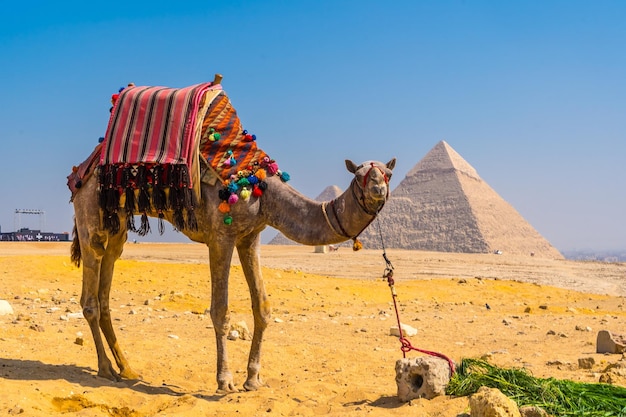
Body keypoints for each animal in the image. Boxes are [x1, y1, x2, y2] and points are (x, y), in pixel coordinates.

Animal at [70, 151, 392, 392]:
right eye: (360, 176)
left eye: (387, 174)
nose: (379, 189)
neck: (265, 195)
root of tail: (80, 172)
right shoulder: (220, 236)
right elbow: (220, 311)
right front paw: (225, 381)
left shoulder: (250, 236)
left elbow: (262, 307)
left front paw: (253, 379)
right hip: (90, 213)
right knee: (91, 292)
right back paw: (105, 369)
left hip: (118, 224)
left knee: (106, 284)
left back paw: (127, 368)